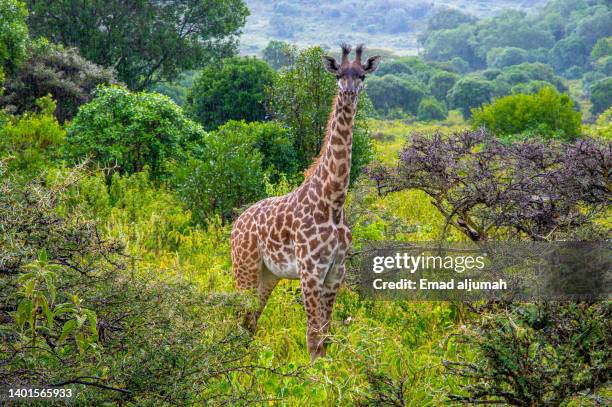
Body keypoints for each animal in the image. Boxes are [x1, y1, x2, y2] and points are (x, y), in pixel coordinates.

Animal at [232, 43, 380, 358]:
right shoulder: (310, 271)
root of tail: (236, 224)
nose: (349, 92)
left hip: (268, 274)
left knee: (251, 321)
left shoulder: (336, 272)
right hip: (245, 266)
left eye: (361, 75)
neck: (333, 202)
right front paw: (313, 372)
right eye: (338, 74)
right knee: (239, 317)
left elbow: (326, 335)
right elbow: (313, 335)